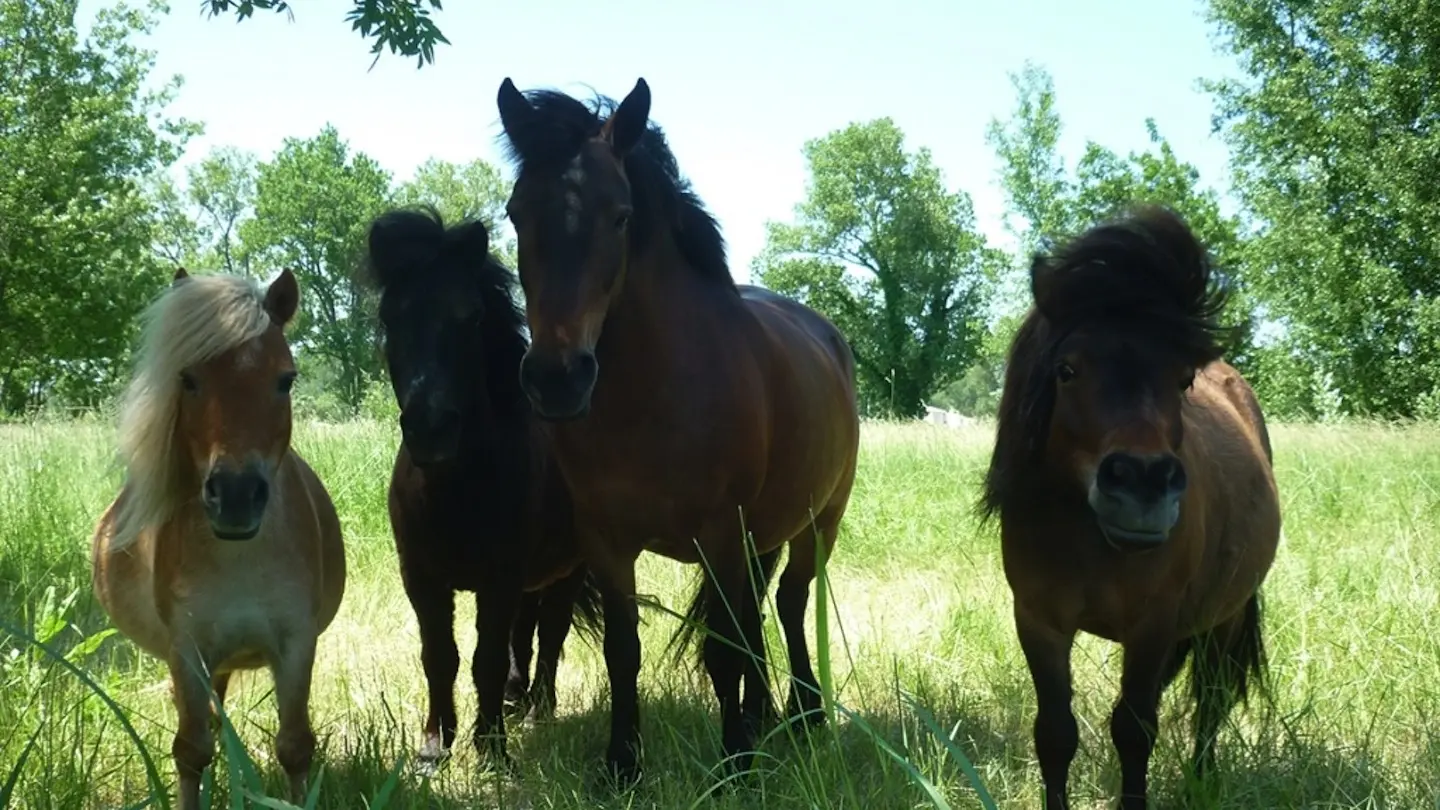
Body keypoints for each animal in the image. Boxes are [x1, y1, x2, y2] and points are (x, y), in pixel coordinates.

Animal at [90, 267, 346, 810]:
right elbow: (191, 751)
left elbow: (295, 746)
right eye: (188, 379)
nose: (236, 495)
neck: (239, 557)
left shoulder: (296, 643)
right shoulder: (187, 651)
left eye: (285, 379)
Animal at [364, 206, 603, 771]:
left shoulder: (500, 579)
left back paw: (538, 710)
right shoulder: (422, 579)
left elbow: (486, 658)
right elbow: (439, 656)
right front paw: (434, 746)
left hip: (566, 570)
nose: (431, 428)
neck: (455, 491)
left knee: (550, 633)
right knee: (526, 635)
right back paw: (517, 700)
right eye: (390, 318)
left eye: (470, 317)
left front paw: (491, 748)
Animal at [495, 77, 861, 784]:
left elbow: (724, 650)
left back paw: (803, 716)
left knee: (790, 602)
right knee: (756, 614)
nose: (556, 378)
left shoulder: (720, 533)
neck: (654, 399)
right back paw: (767, 715)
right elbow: (624, 651)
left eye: (620, 215)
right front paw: (621, 763)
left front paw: (736, 766)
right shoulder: (606, 541)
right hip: (760, 537)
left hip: (818, 522)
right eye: (517, 213)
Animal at [980, 205, 1280, 810]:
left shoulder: (1154, 624)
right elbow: (1055, 732)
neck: (1088, 538)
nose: (1143, 484)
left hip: (1225, 618)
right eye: (1067, 369)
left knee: (1211, 700)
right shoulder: (1039, 621)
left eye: (1183, 379)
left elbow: (1135, 729)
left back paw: (1200, 781)